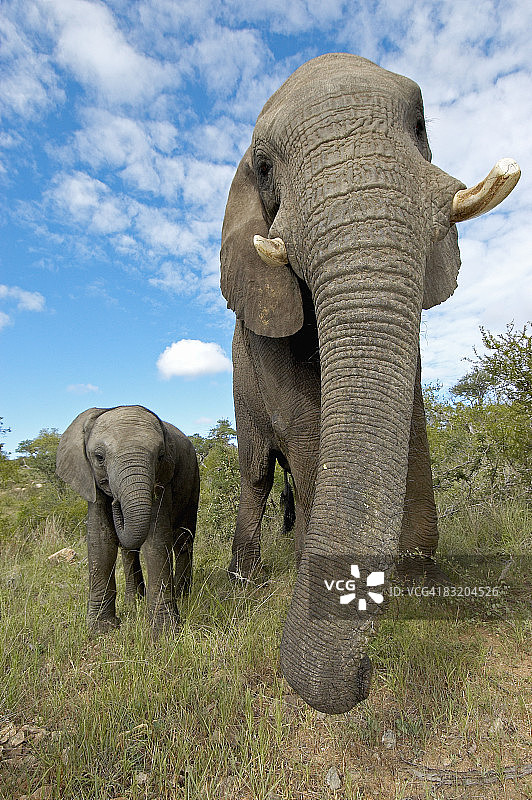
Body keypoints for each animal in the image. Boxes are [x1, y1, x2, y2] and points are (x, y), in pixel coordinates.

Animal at [56, 405, 200, 635]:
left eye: (160, 456)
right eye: (99, 457)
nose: (116, 502)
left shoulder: (163, 479)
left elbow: (156, 540)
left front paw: (164, 632)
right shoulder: (92, 481)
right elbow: (101, 539)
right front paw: (101, 629)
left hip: (193, 477)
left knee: (183, 539)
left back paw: (183, 595)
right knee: (129, 549)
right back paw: (134, 602)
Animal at [219, 53, 520, 713]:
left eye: (421, 125)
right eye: (264, 166)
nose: (363, 676)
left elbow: (410, 412)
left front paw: (418, 582)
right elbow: (305, 419)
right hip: (237, 384)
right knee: (257, 470)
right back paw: (244, 582)